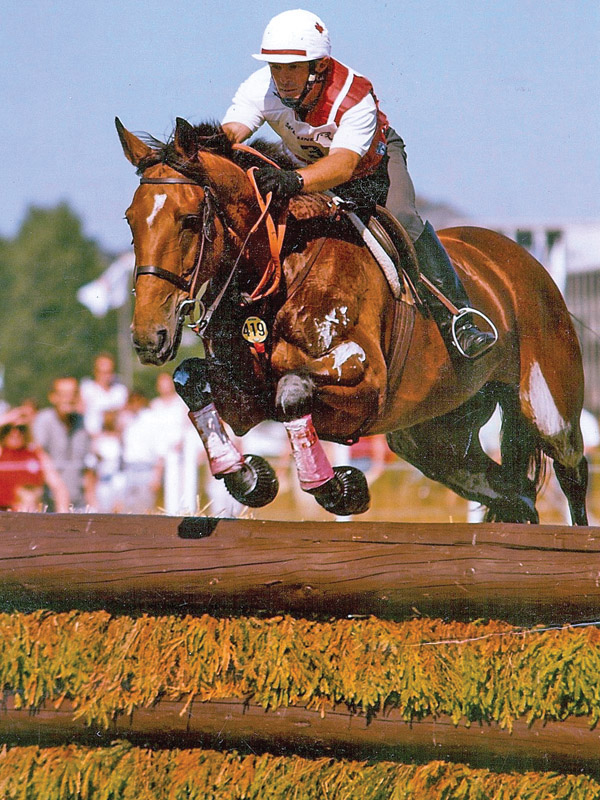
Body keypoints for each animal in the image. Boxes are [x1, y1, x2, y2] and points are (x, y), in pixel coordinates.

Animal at [116, 116, 588, 525]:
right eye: (130, 220)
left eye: (189, 220)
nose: (148, 337)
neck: (282, 264)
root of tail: (522, 262)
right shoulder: (243, 402)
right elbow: (191, 379)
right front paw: (250, 478)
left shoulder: (365, 382)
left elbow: (291, 392)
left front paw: (340, 489)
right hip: (432, 439)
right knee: (513, 491)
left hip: (549, 407)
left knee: (573, 471)